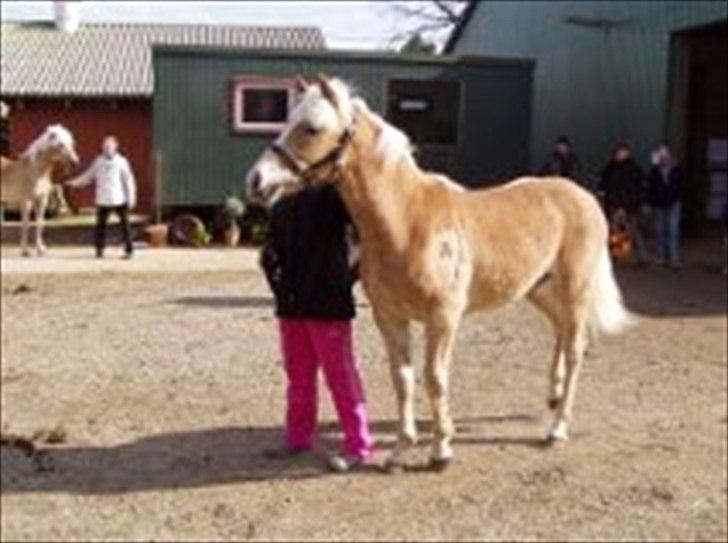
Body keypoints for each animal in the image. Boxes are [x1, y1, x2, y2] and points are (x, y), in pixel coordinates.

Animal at [0, 125, 79, 258]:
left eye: (71, 143)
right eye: (60, 144)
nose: (75, 162)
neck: (35, 171)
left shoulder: (42, 200)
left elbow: (40, 223)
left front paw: (40, 249)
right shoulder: (26, 201)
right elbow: (26, 224)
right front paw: (25, 251)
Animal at [245, 76, 632, 472]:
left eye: (312, 127)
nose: (256, 180)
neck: (407, 222)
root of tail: (584, 197)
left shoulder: (442, 318)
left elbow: (434, 378)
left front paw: (440, 449)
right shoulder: (391, 318)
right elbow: (402, 378)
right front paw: (401, 450)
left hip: (575, 289)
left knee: (575, 346)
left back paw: (557, 428)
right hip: (538, 288)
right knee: (561, 331)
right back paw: (552, 396)